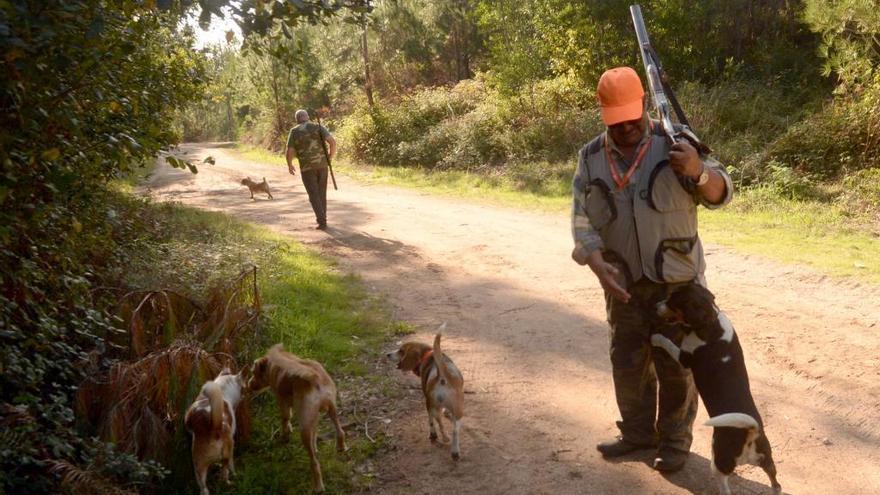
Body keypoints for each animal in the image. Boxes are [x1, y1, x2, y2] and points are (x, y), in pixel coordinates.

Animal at [248, 344, 348, 492]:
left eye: (254, 373)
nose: (248, 385)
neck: (273, 366)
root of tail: (314, 377)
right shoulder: (313, 416)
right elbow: (313, 431)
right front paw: (314, 444)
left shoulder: (282, 401)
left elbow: (285, 419)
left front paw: (285, 436)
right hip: (331, 410)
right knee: (339, 430)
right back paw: (340, 447)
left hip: (304, 428)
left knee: (314, 462)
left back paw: (318, 486)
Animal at [386, 326, 464, 462]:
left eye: (401, 351)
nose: (387, 354)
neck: (428, 354)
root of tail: (443, 375)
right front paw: (447, 412)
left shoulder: (427, 402)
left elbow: (430, 420)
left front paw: (433, 434)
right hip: (458, 410)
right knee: (455, 430)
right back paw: (455, 452)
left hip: (432, 406)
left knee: (438, 424)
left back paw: (441, 437)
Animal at [648, 284, 780, 495]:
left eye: (673, 302)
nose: (654, 306)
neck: (711, 323)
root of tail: (750, 433)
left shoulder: (684, 358)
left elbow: (668, 343)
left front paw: (656, 337)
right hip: (767, 459)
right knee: (776, 483)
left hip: (718, 459)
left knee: (725, 487)